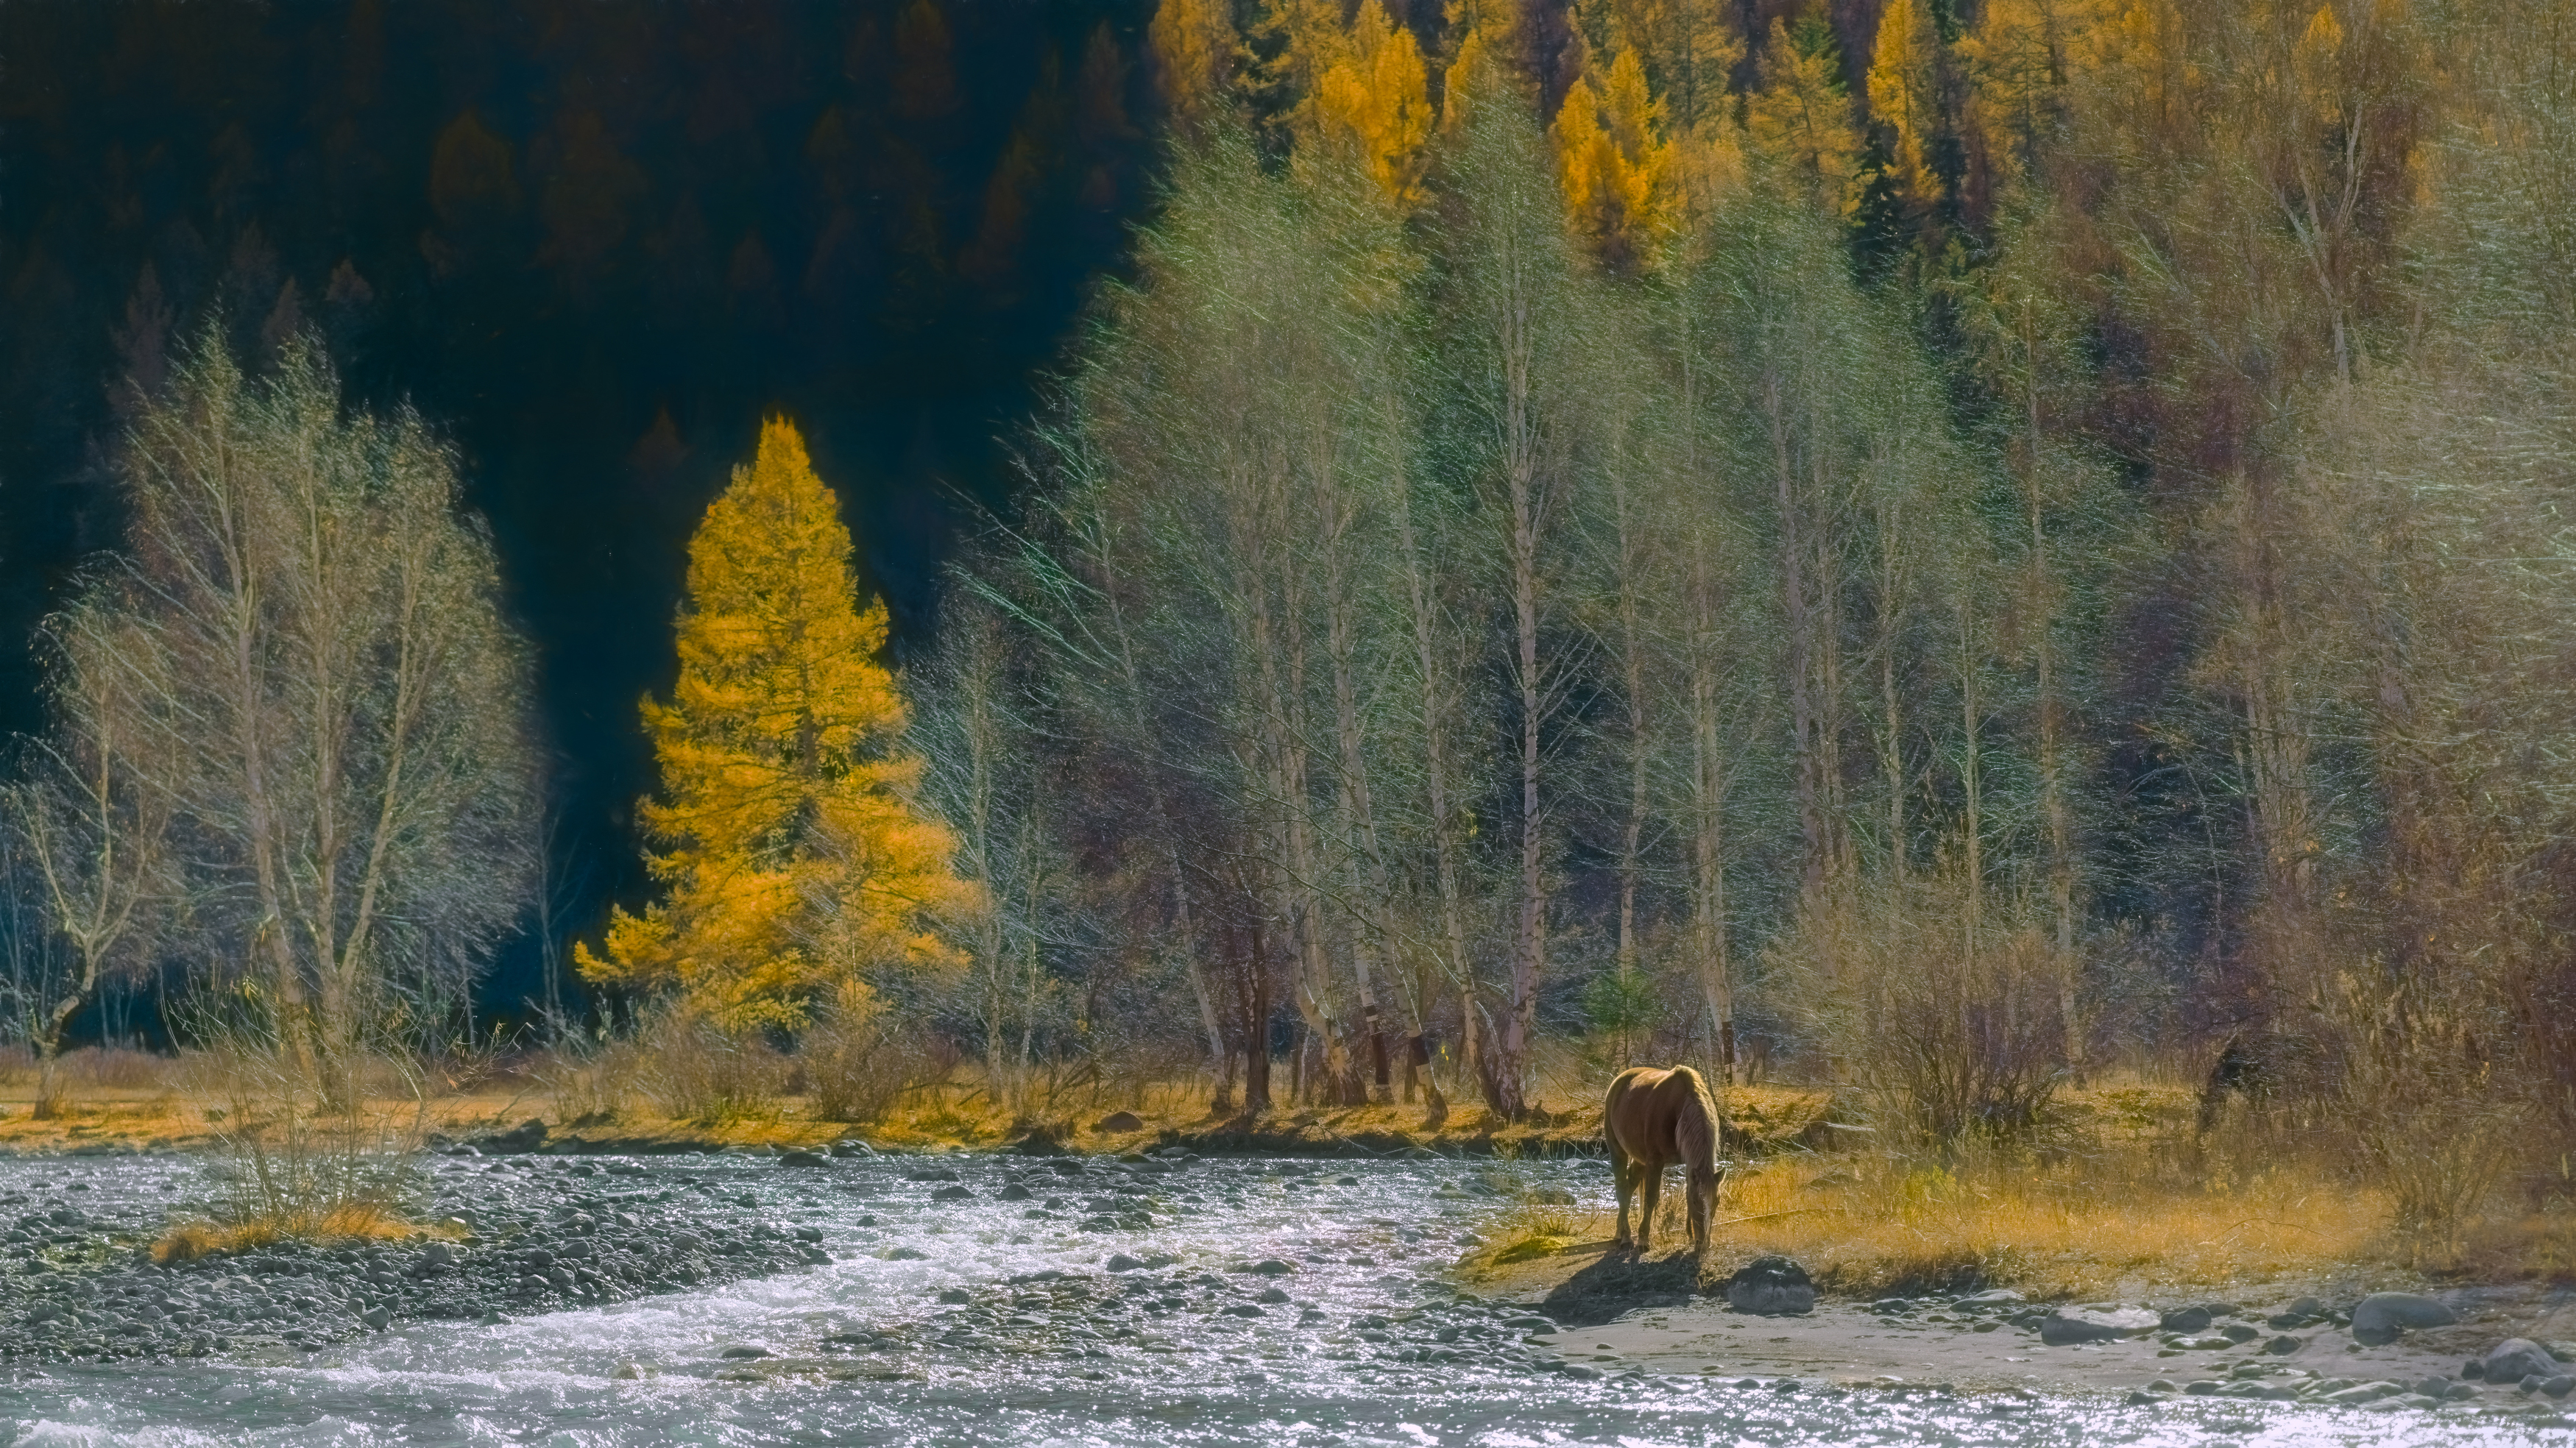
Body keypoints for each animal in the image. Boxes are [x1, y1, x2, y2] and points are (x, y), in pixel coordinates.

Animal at [1597, 1061, 1721, 1252]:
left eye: (1716, 1202)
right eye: (1696, 1202)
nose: (1703, 1245)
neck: (1679, 1109)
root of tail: (1619, 1080)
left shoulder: (1688, 1162)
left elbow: (1686, 1189)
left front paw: (1690, 1236)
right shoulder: (1655, 1161)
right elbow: (1651, 1198)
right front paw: (1643, 1239)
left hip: (1640, 1159)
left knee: (1629, 1186)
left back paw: (1619, 1231)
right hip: (1617, 1150)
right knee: (1621, 1188)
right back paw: (1626, 1236)